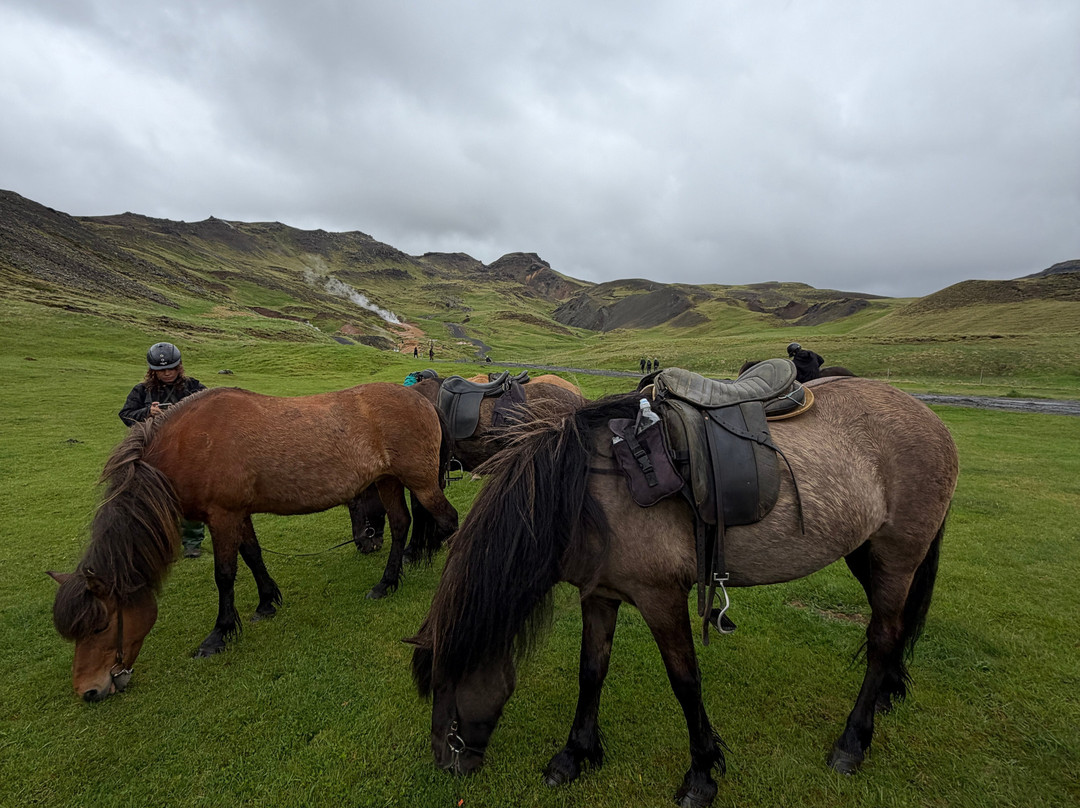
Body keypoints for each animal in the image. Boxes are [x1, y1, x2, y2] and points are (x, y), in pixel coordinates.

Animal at [50, 383, 458, 701]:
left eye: (100, 626)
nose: (89, 691)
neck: (188, 443)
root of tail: (423, 401)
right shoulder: (237, 514)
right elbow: (252, 555)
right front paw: (266, 602)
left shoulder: (222, 515)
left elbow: (225, 574)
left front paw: (219, 635)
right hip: (389, 481)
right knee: (402, 524)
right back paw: (386, 583)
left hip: (420, 481)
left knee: (449, 521)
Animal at [408, 377, 958, 807]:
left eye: (445, 684)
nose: (446, 763)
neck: (586, 491)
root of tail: (930, 418)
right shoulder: (600, 594)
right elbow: (591, 672)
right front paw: (574, 755)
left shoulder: (661, 598)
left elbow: (686, 682)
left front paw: (701, 774)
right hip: (866, 553)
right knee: (894, 628)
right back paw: (888, 692)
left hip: (896, 555)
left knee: (883, 636)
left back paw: (852, 742)